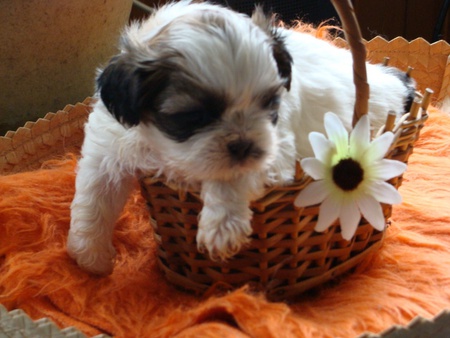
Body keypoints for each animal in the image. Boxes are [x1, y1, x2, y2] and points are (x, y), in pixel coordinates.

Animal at [67, 0, 414, 274]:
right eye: (195, 116)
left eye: (270, 102)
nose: (244, 143)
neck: (164, 147)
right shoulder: (109, 144)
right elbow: (94, 195)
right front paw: (90, 256)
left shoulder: (277, 148)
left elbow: (231, 176)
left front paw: (221, 227)